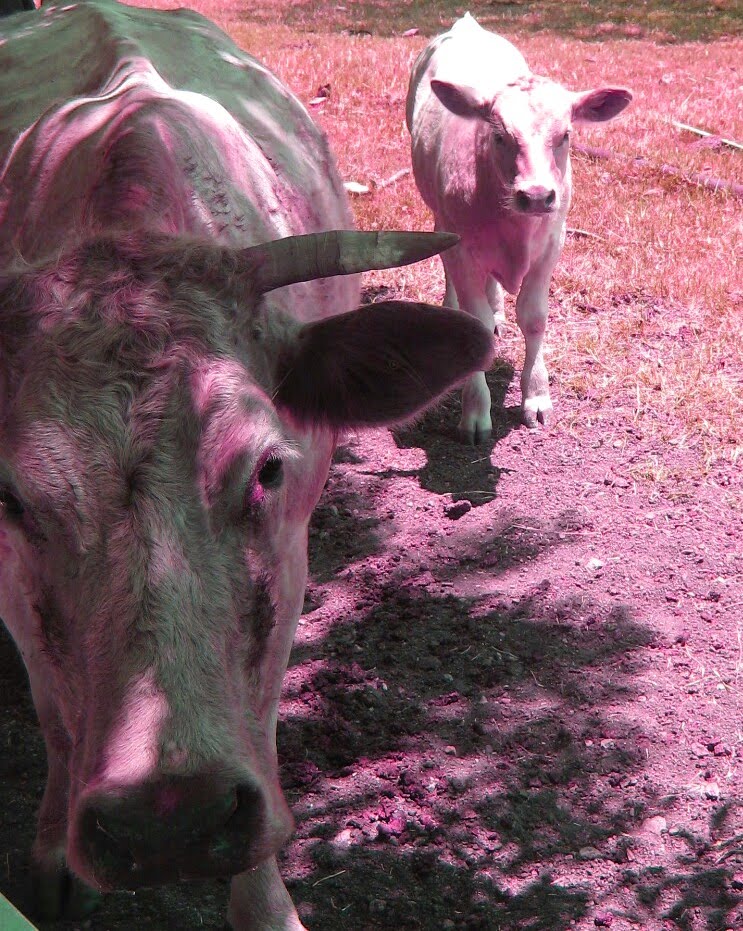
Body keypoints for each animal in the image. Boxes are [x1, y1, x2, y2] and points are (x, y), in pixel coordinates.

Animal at [0, 2, 493, 928]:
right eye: (10, 500)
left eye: (267, 467)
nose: (169, 817)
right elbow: (51, 709)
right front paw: (47, 855)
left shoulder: (290, 557)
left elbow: (259, 709)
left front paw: (265, 902)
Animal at [406, 13, 632, 440]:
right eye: (499, 135)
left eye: (566, 135)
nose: (538, 195)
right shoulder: (461, 246)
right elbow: (474, 321)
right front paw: (475, 411)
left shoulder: (552, 243)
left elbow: (533, 316)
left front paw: (537, 397)